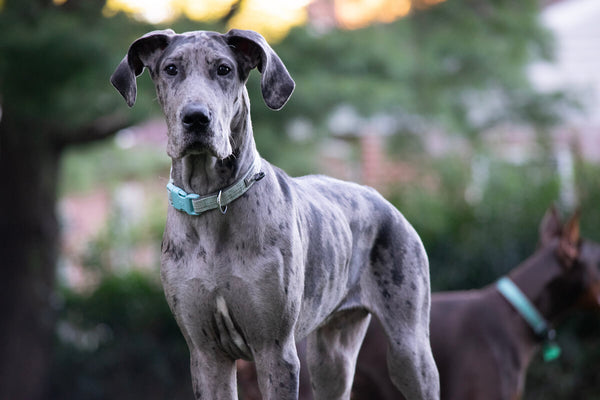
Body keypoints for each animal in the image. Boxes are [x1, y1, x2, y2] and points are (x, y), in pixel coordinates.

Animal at [112, 28, 438, 400]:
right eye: (170, 69)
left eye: (224, 69)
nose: (196, 117)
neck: (212, 199)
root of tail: (383, 200)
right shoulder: (206, 355)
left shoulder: (275, 351)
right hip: (331, 357)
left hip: (409, 349)